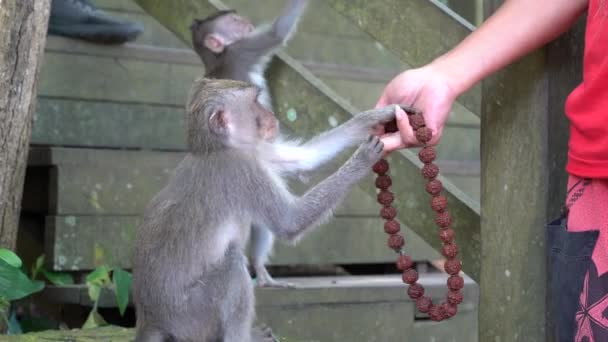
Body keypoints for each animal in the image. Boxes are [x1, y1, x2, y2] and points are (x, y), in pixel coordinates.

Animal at [132, 78, 396, 342]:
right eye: (254, 102)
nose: (270, 114)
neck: (220, 147)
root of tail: (151, 319)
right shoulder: (242, 169)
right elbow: (290, 221)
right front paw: (362, 159)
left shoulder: (254, 149)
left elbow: (304, 158)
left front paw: (374, 117)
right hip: (190, 316)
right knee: (232, 264)